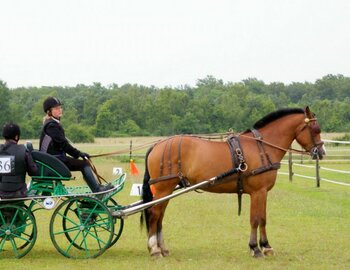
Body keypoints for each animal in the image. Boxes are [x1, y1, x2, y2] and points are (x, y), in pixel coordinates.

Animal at [140, 106, 326, 258]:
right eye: (316, 129)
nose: (321, 152)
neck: (262, 147)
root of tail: (157, 145)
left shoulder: (262, 192)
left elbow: (263, 218)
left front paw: (265, 246)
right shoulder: (258, 192)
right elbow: (255, 219)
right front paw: (256, 248)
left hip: (166, 190)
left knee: (160, 215)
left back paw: (162, 248)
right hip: (163, 188)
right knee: (154, 214)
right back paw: (155, 249)